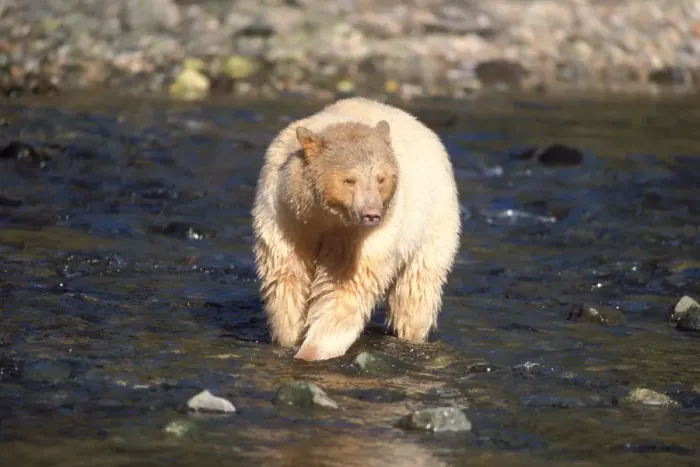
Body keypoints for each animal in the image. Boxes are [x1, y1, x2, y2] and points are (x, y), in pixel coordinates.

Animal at [251, 97, 461, 361]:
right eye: (349, 180)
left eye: (381, 178)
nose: (371, 214)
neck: (322, 216)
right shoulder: (285, 217)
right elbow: (287, 277)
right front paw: (289, 339)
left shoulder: (358, 236)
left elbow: (344, 288)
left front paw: (311, 352)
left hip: (433, 221)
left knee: (416, 291)